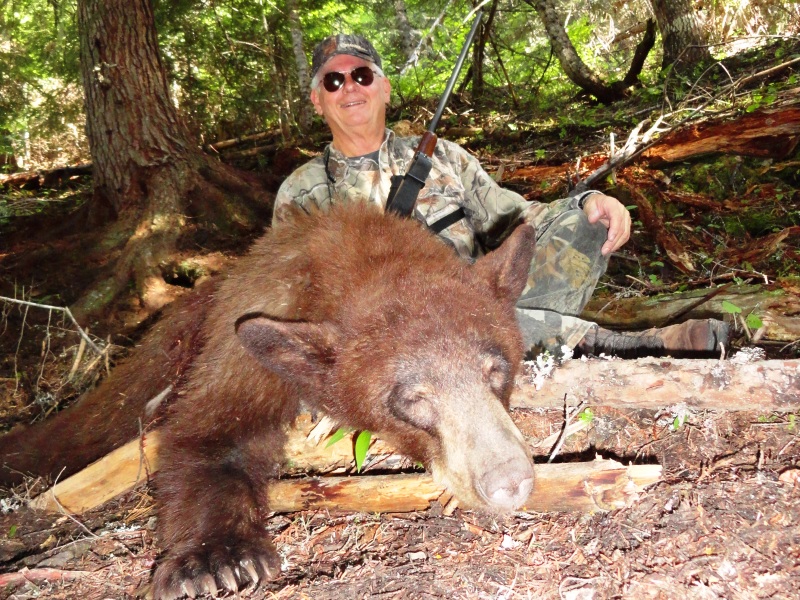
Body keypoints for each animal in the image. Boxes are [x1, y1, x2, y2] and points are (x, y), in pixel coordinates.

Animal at [0, 202, 537, 599]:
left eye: (496, 370)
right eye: (414, 399)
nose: (510, 481)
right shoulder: (250, 328)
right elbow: (212, 431)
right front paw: (215, 559)